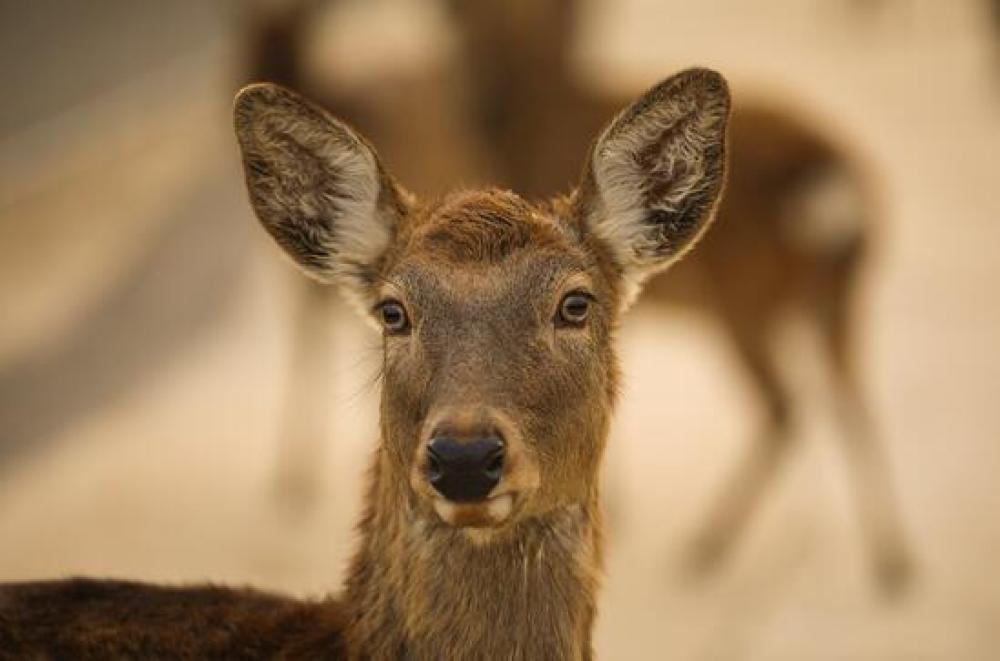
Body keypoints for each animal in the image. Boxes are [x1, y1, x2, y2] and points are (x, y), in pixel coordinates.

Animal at [248, 0, 916, 592]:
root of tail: (835, 185)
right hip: (839, 291)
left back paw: (707, 546)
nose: (478, 93)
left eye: (575, 304)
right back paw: (892, 562)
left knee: (787, 404)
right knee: (851, 392)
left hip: (748, 294)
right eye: (394, 313)